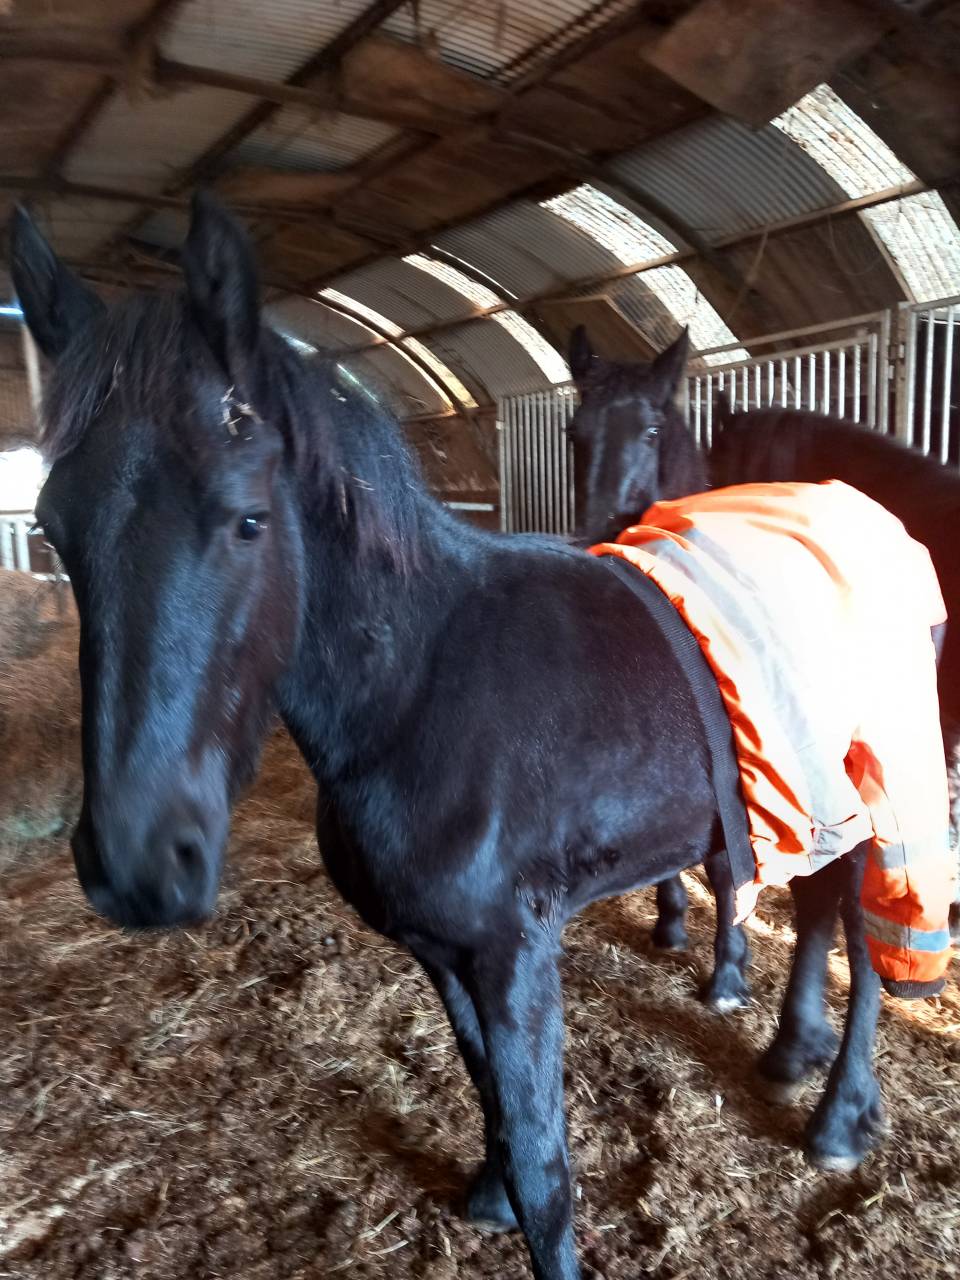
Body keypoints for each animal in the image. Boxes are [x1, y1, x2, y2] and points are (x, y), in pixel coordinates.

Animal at [11, 195, 894, 1280]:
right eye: (54, 529)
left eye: (249, 519)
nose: (139, 865)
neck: (422, 690)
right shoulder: (441, 950)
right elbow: (489, 1096)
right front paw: (487, 1192)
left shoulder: (516, 952)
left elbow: (546, 1159)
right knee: (816, 905)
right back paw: (792, 1056)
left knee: (864, 932)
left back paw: (840, 1116)